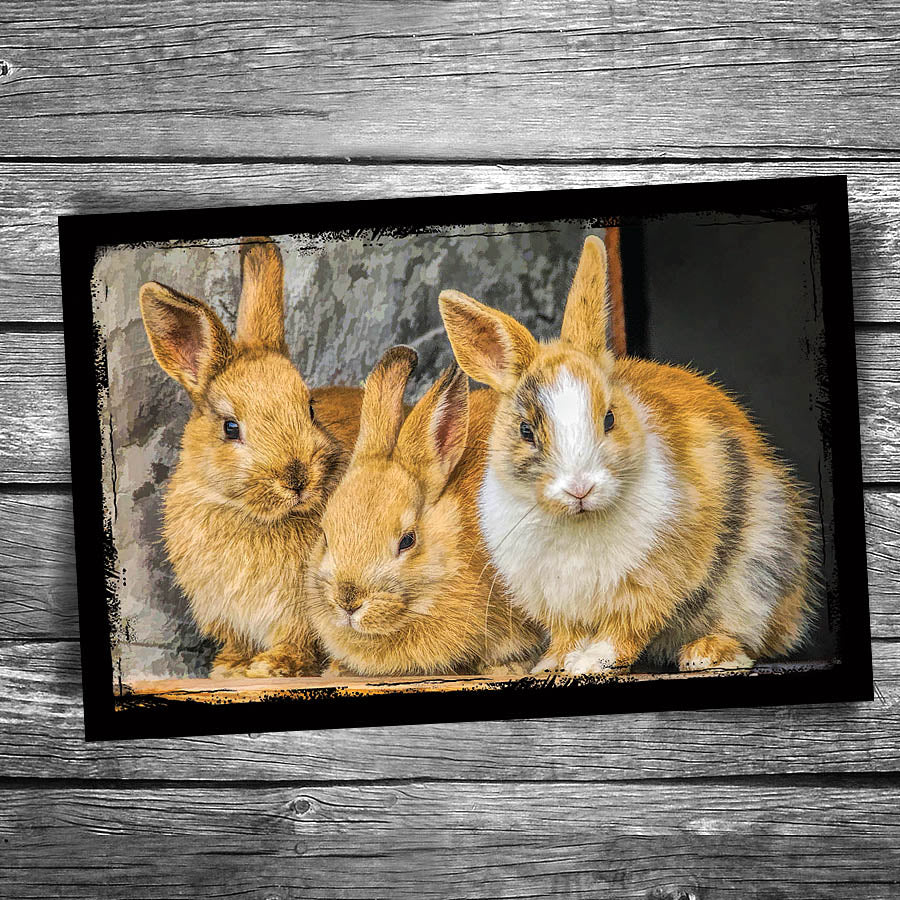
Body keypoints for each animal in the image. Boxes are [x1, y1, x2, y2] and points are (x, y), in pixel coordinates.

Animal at [139, 236, 363, 678]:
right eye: (230, 427)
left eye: (310, 408)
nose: (297, 479)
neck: (252, 516)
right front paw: (229, 668)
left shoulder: (301, 615)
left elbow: (299, 642)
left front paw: (271, 667)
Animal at [438, 234, 815, 676]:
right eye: (526, 431)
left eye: (610, 418)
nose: (580, 489)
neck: (578, 522)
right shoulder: (555, 601)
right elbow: (567, 634)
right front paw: (552, 665)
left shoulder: (652, 581)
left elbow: (626, 627)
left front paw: (590, 662)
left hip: (759, 573)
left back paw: (706, 653)